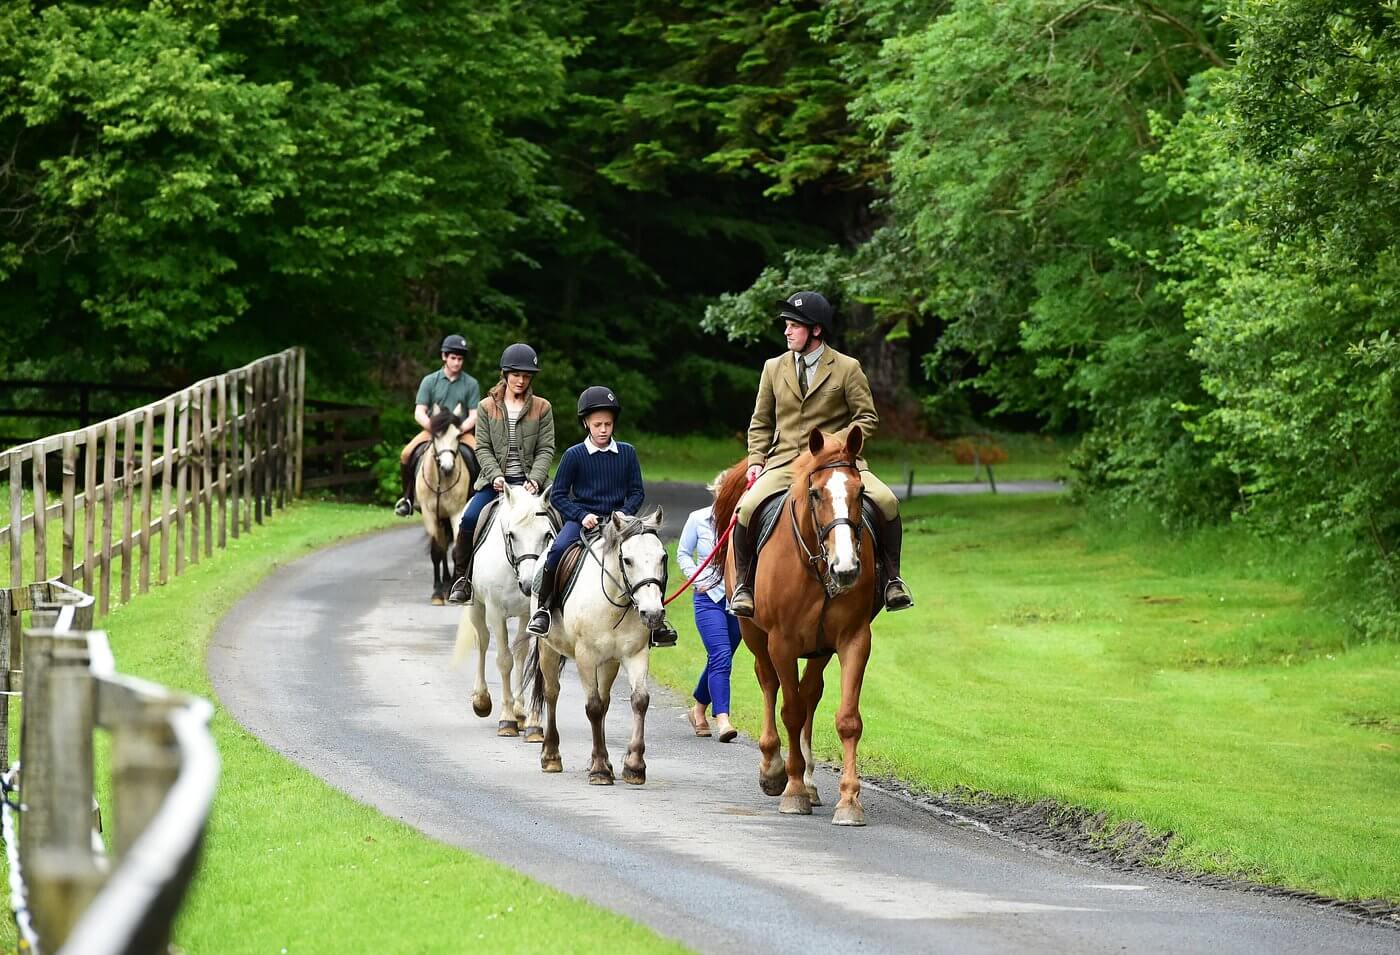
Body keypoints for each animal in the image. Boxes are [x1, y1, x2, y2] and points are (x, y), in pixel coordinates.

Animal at [414, 406, 476, 602]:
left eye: (458, 435)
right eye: (436, 436)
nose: (447, 468)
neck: (440, 482)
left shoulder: (456, 513)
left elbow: (457, 550)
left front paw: (452, 589)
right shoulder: (429, 514)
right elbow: (437, 551)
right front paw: (437, 592)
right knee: (441, 548)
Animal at [450, 484, 554, 733]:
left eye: (546, 535)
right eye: (512, 535)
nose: (528, 584)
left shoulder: (528, 614)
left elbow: (520, 655)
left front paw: (520, 712)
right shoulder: (496, 613)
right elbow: (504, 660)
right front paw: (507, 718)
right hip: (476, 607)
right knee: (482, 641)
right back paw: (481, 700)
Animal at [529, 509, 672, 784]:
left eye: (663, 557)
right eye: (627, 560)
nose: (653, 614)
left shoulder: (635, 654)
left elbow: (639, 700)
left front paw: (634, 766)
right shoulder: (585, 656)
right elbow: (593, 707)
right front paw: (598, 770)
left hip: (610, 662)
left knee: (605, 700)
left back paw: (607, 761)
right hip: (548, 648)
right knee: (552, 693)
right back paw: (551, 756)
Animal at [716, 428, 879, 823]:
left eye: (859, 492)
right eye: (816, 492)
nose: (846, 569)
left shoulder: (854, 639)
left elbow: (847, 718)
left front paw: (849, 800)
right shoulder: (782, 643)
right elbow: (788, 711)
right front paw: (790, 789)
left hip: (819, 649)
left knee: (810, 693)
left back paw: (808, 779)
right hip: (755, 636)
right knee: (769, 683)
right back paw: (774, 767)